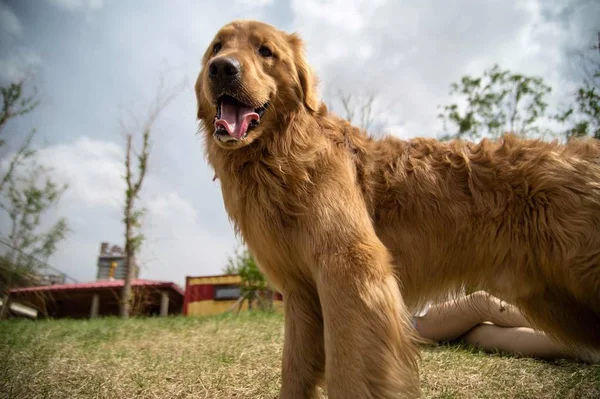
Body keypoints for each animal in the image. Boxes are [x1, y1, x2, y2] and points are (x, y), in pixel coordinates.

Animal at [197, 19, 600, 399]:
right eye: (217, 47)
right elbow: (294, 370)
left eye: (265, 51)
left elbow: (348, 371)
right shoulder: (299, 292)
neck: (282, 155)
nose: (222, 68)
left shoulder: (348, 267)